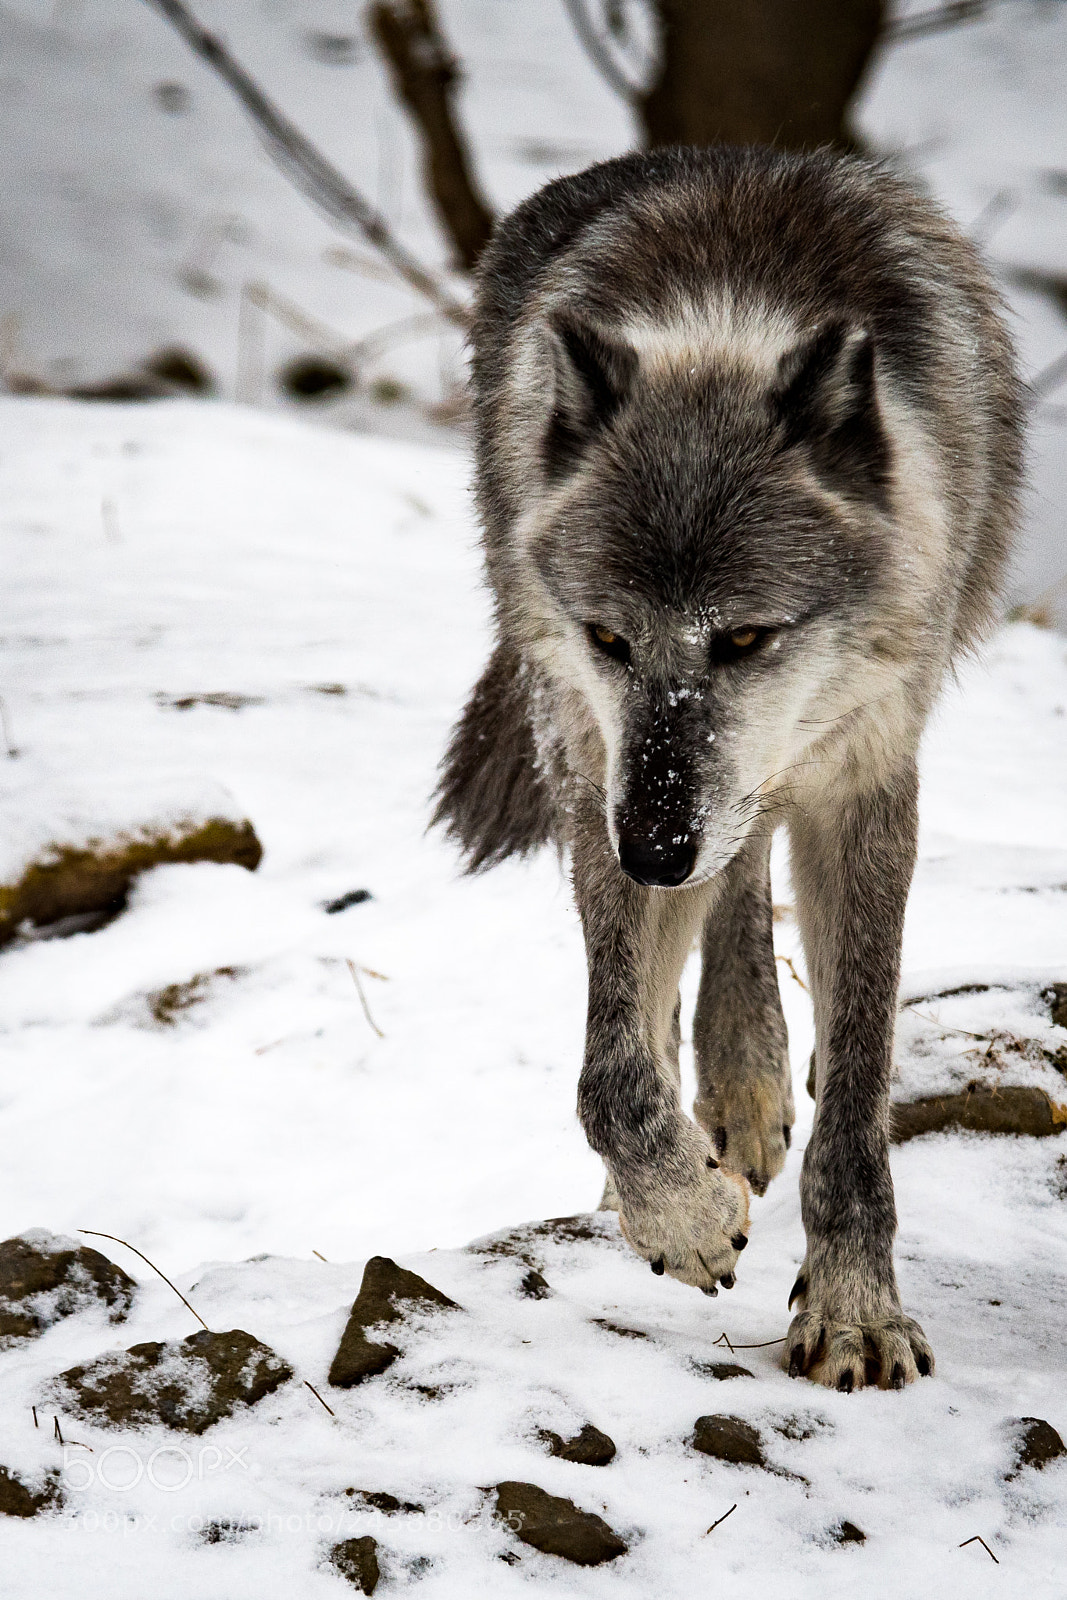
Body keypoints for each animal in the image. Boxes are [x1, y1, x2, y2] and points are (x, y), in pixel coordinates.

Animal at [434, 146, 1023, 1390]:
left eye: (745, 636)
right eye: (610, 638)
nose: (655, 850)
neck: (725, 322)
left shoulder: (862, 786)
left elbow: (856, 1095)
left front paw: (853, 1311)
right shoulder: (594, 770)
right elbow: (609, 1074)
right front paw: (682, 1215)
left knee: (742, 868)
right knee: (716, 907)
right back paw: (722, 1102)